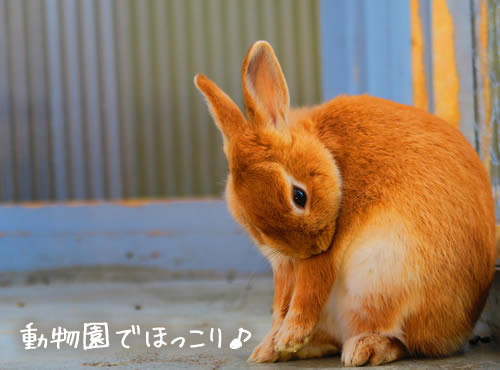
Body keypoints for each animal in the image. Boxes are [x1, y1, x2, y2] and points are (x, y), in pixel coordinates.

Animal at [193, 41, 494, 368]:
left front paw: (289, 337)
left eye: (299, 196)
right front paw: (274, 344)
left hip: (385, 281)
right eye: (251, 222)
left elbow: (311, 288)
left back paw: (365, 348)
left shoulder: (328, 250)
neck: (327, 152)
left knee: (405, 342)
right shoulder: (284, 265)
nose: (312, 248)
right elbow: (282, 300)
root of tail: (461, 328)